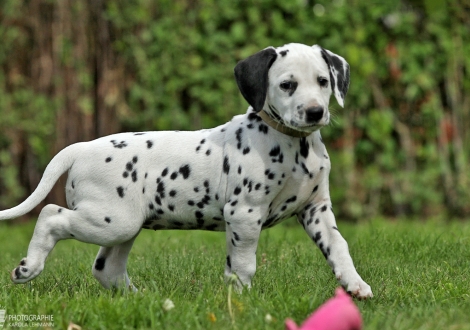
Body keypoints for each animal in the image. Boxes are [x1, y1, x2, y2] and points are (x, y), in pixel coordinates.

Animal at [0, 43, 374, 300]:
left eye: (323, 81)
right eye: (287, 85)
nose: (315, 112)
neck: (293, 145)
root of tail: (80, 147)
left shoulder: (316, 209)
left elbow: (339, 248)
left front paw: (355, 284)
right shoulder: (244, 214)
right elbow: (243, 264)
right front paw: (241, 300)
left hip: (124, 227)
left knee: (106, 268)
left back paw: (140, 299)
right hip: (111, 221)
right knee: (51, 215)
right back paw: (28, 267)